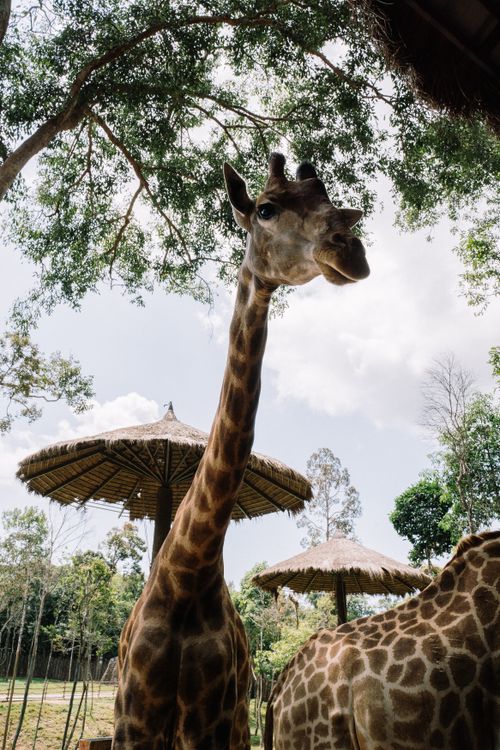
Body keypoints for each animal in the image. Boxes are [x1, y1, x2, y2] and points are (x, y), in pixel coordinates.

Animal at [112, 152, 370, 750]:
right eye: (267, 208)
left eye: (332, 202)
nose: (352, 251)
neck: (189, 572)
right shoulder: (135, 719)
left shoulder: (209, 719)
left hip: (235, 724)